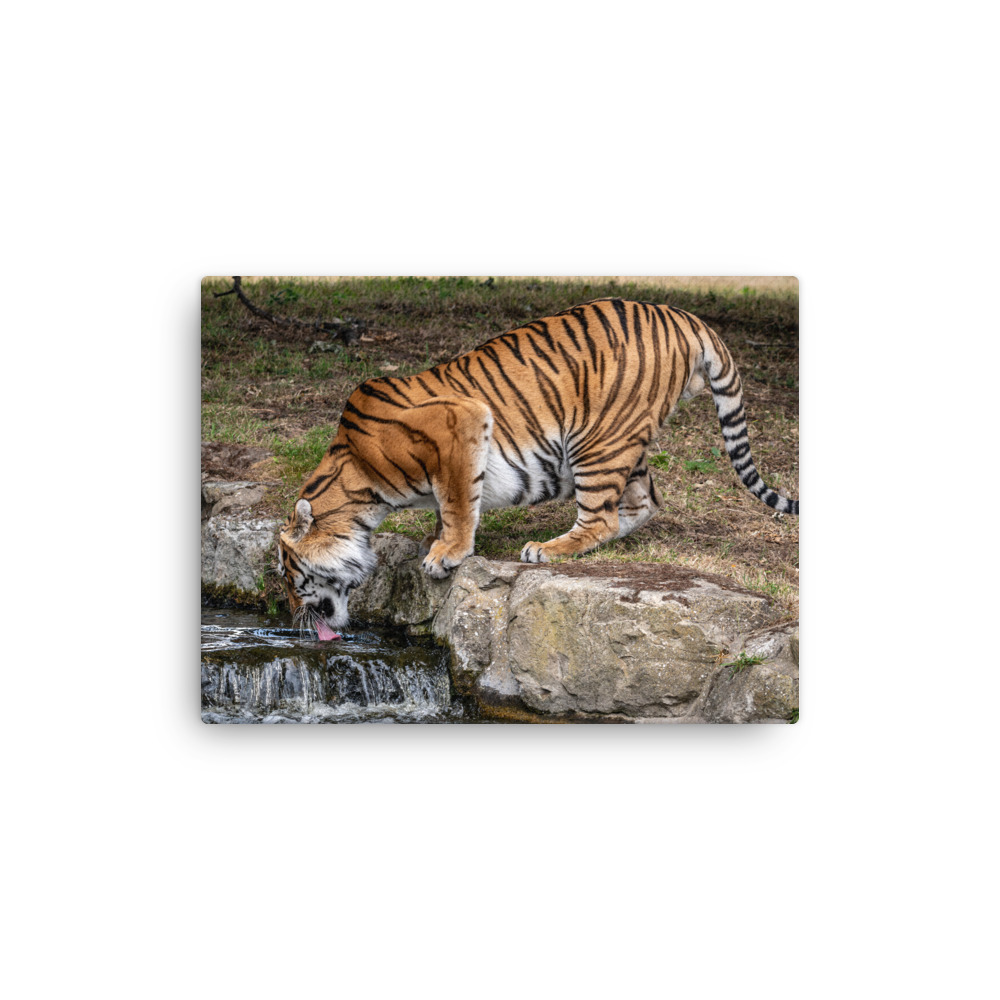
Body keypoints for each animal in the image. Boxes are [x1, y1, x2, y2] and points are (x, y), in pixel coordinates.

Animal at [277, 298, 798, 640]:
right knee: (643, 502)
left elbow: (458, 501)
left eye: (288, 573)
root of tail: (683, 316)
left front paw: (447, 554)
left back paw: (547, 548)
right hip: (624, 441)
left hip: (596, 439)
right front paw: (435, 540)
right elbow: (448, 504)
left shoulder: (461, 423)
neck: (358, 484)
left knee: (601, 516)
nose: (291, 617)